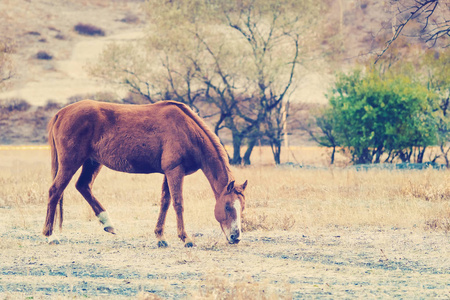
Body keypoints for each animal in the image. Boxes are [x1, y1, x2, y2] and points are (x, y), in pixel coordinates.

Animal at [43, 99, 246, 247]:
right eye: (227, 206)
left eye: (242, 207)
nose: (236, 237)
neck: (188, 131)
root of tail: (62, 113)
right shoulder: (175, 171)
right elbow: (178, 203)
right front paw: (185, 238)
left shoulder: (168, 172)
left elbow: (165, 202)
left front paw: (160, 237)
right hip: (70, 163)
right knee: (55, 191)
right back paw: (50, 235)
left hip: (92, 162)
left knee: (83, 186)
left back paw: (108, 223)